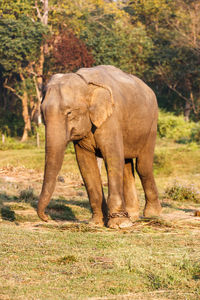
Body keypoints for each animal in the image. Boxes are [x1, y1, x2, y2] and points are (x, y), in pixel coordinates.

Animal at [37, 65, 162, 229]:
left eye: (69, 112)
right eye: (42, 113)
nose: (47, 218)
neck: (86, 84)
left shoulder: (111, 120)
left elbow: (113, 158)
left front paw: (119, 224)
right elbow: (85, 164)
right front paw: (96, 223)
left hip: (151, 125)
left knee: (143, 167)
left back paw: (152, 215)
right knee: (127, 166)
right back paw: (132, 215)